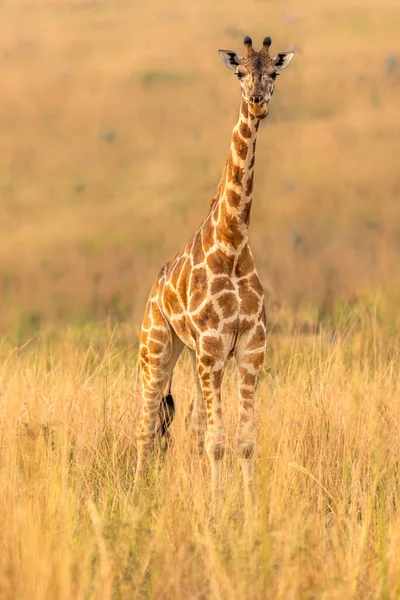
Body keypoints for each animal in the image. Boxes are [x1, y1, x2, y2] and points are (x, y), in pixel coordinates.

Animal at [134, 35, 294, 512]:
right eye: (240, 71)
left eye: (273, 73)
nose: (257, 102)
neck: (233, 245)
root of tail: (154, 289)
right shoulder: (212, 349)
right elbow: (217, 441)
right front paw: (215, 509)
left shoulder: (249, 349)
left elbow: (243, 439)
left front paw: (249, 509)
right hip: (156, 349)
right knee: (146, 427)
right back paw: (136, 497)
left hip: (187, 356)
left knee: (182, 425)